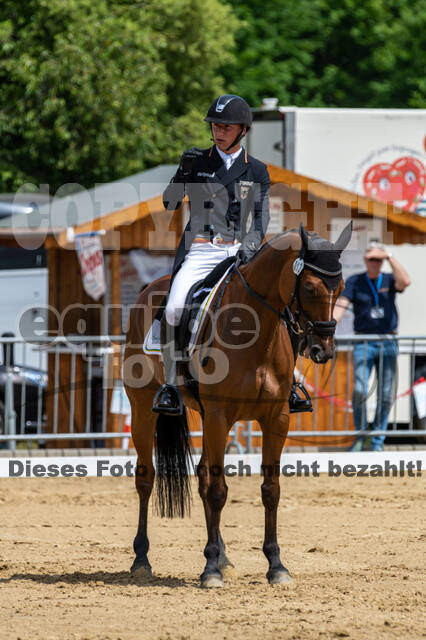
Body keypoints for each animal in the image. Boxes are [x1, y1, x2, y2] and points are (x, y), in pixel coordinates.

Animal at [123, 222, 352, 587]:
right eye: (310, 287)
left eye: (341, 286)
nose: (323, 350)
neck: (255, 329)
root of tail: (151, 289)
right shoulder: (219, 415)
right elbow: (219, 490)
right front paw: (210, 571)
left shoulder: (277, 418)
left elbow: (270, 489)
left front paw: (276, 566)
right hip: (144, 408)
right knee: (146, 478)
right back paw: (142, 559)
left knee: (202, 477)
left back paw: (222, 556)